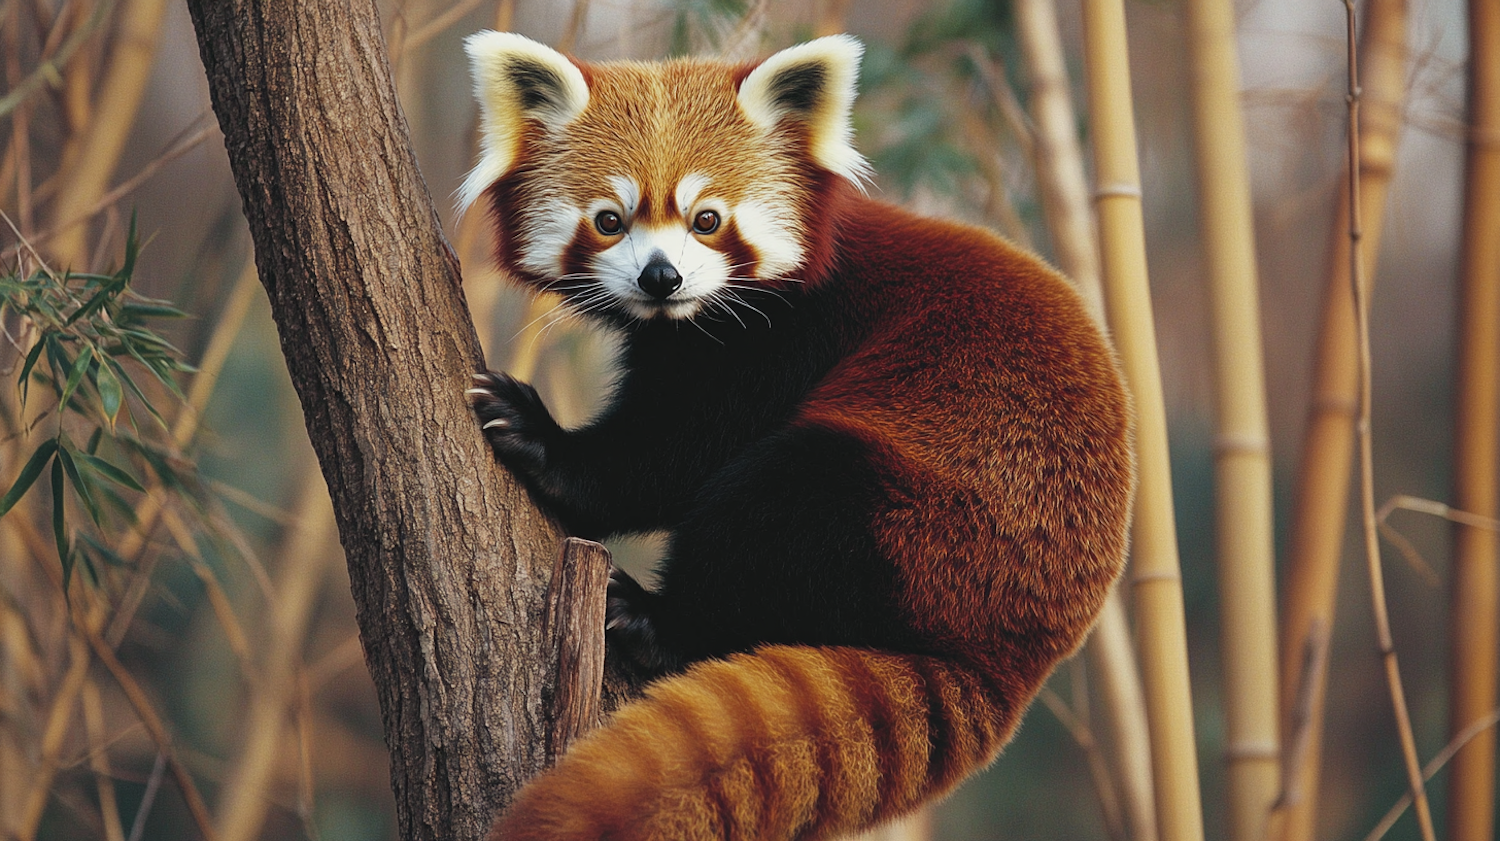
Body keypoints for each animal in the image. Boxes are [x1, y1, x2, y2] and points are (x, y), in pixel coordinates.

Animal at [462, 29, 1128, 833]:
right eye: (609, 220)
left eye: (707, 219)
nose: (662, 278)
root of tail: (1014, 664)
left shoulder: (784, 337)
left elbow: (673, 455)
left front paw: (545, 444)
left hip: (927, 526)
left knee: (783, 501)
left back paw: (658, 618)